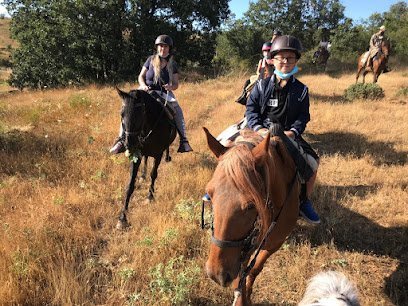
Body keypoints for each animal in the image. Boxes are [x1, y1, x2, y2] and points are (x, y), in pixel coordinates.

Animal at [116, 88, 177, 230]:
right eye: (122, 114)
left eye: (139, 114)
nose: (129, 144)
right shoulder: (136, 155)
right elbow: (130, 184)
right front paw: (122, 218)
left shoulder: (158, 154)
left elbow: (153, 174)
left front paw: (150, 197)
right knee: (145, 158)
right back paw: (142, 175)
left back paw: (167, 157)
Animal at [204, 127, 300, 306]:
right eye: (210, 196)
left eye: (251, 205)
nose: (216, 274)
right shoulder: (242, 249)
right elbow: (240, 279)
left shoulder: (275, 243)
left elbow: (254, 269)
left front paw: (248, 292)